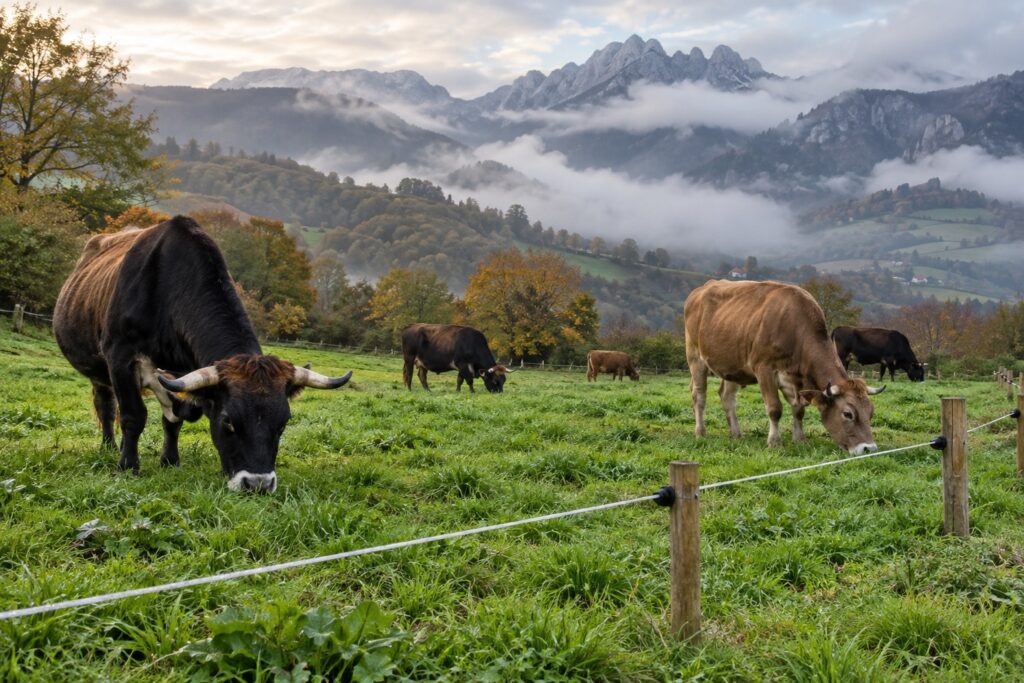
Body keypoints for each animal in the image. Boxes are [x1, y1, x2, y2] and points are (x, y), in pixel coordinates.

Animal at [52, 216, 352, 493]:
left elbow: (173, 421)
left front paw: (170, 461)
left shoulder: (183, 375)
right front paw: (127, 467)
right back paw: (109, 447)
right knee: (106, 405)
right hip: (99, 370)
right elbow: (132, 416)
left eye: (283, 423)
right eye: (228, 421)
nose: (258, 484)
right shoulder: (120, 358)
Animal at [684, 280, 885, 455]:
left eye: (871, 412)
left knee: (727, 397)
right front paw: (774, 442)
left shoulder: (794, 380)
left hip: (733, 366)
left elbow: (799, 410)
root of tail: (702, 288)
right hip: (695, 358)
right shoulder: (764, 369)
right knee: (699, 396)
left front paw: (800, 439)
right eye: (848, 414)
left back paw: (736, 434)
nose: (869, 449)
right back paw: (700, 432)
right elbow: (774, 409)